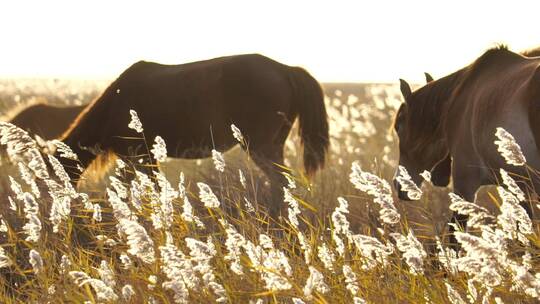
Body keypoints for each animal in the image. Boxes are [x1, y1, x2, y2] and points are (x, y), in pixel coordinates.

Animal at [56, 54, 330, 216]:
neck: (116, 103)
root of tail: (286, 69)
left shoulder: (137, 156)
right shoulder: (143, 159)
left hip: (261, 147)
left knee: (280, 181)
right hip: (273, 145)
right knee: (281, 183)